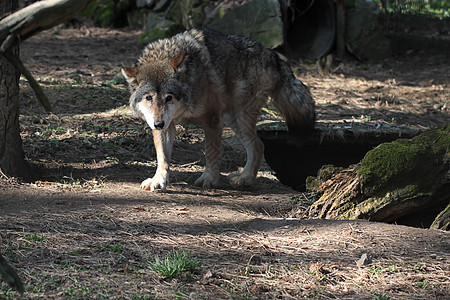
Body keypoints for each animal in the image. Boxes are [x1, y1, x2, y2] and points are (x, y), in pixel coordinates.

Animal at [121, 28, 314, 192]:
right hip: (233, 119)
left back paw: (245, 179)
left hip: (240, 116)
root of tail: (274, 56)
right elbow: (162, 156)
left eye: (169, 97)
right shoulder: (167, 125)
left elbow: (211, 152)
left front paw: (210, 179)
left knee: (258, 145)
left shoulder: (211, 118)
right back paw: (245, 178)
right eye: (149, 98)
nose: (158, 123)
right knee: (259, 145)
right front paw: (158, 180)